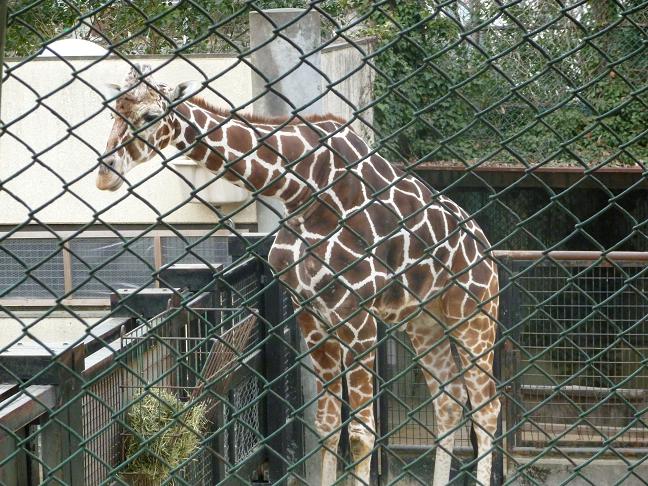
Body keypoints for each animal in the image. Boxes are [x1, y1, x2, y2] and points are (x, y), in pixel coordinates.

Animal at [97, 65, 502, 486]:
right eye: (113, 110)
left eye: (150, 116)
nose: (105, 175)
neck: (301, 188)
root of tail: (487, 249)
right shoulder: (309, 312)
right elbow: (326, 423)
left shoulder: (359, 318)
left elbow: (362, 434)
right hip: (425, 322)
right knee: (449, 401)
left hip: (474, 316)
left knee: (487, 405)